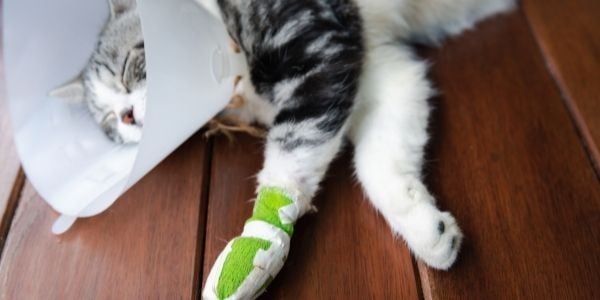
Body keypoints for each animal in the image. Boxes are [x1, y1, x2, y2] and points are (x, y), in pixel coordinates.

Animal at [50, 0, 516, 296]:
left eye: (130, 67)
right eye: (109, 122)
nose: (128, 117)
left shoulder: (319, 46)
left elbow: (291, 154)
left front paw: (255, 244)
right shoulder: (381, 70)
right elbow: (380, 161)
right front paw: (425, 229)